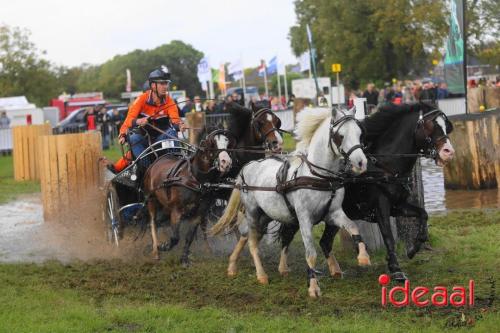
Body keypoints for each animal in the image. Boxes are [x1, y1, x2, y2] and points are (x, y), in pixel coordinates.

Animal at [143, 130, 236, 264]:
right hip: (151, 201)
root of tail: (157, 160)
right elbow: (175, 237)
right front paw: (164, 246)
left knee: (158, 223)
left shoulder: (198, 214)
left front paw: (184, 259)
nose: (226, 162)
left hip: (166, 207)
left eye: (228, 143)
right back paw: (155, 250)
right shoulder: (176, 211)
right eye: (212, 144)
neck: (196, 179)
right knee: (152, 224)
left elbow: (189, 237)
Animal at [211, 107, 372, 296]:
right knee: (252, 242)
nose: (361, 162)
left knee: (246, 235)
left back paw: (233, 266)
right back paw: (261, 275)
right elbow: (310, 253)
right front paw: (313, 287)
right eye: (340, 136)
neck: (319, 176)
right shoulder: (304, 219)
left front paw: (363, 257)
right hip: (253, 213)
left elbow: (353, 227)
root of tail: (247, 167)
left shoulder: (334, 213)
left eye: (360, 133)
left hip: (266, 215)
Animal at [280, 101, 456, 280]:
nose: (448, 152)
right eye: (429, 125)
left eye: (445, 126)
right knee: (288, 236)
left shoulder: (397, 206)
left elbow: (423, 214)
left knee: (325, 242)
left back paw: (335, 270)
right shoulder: (381, 208)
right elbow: (388, 237)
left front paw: (413, 250)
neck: (384, 168)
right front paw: (395, 268)